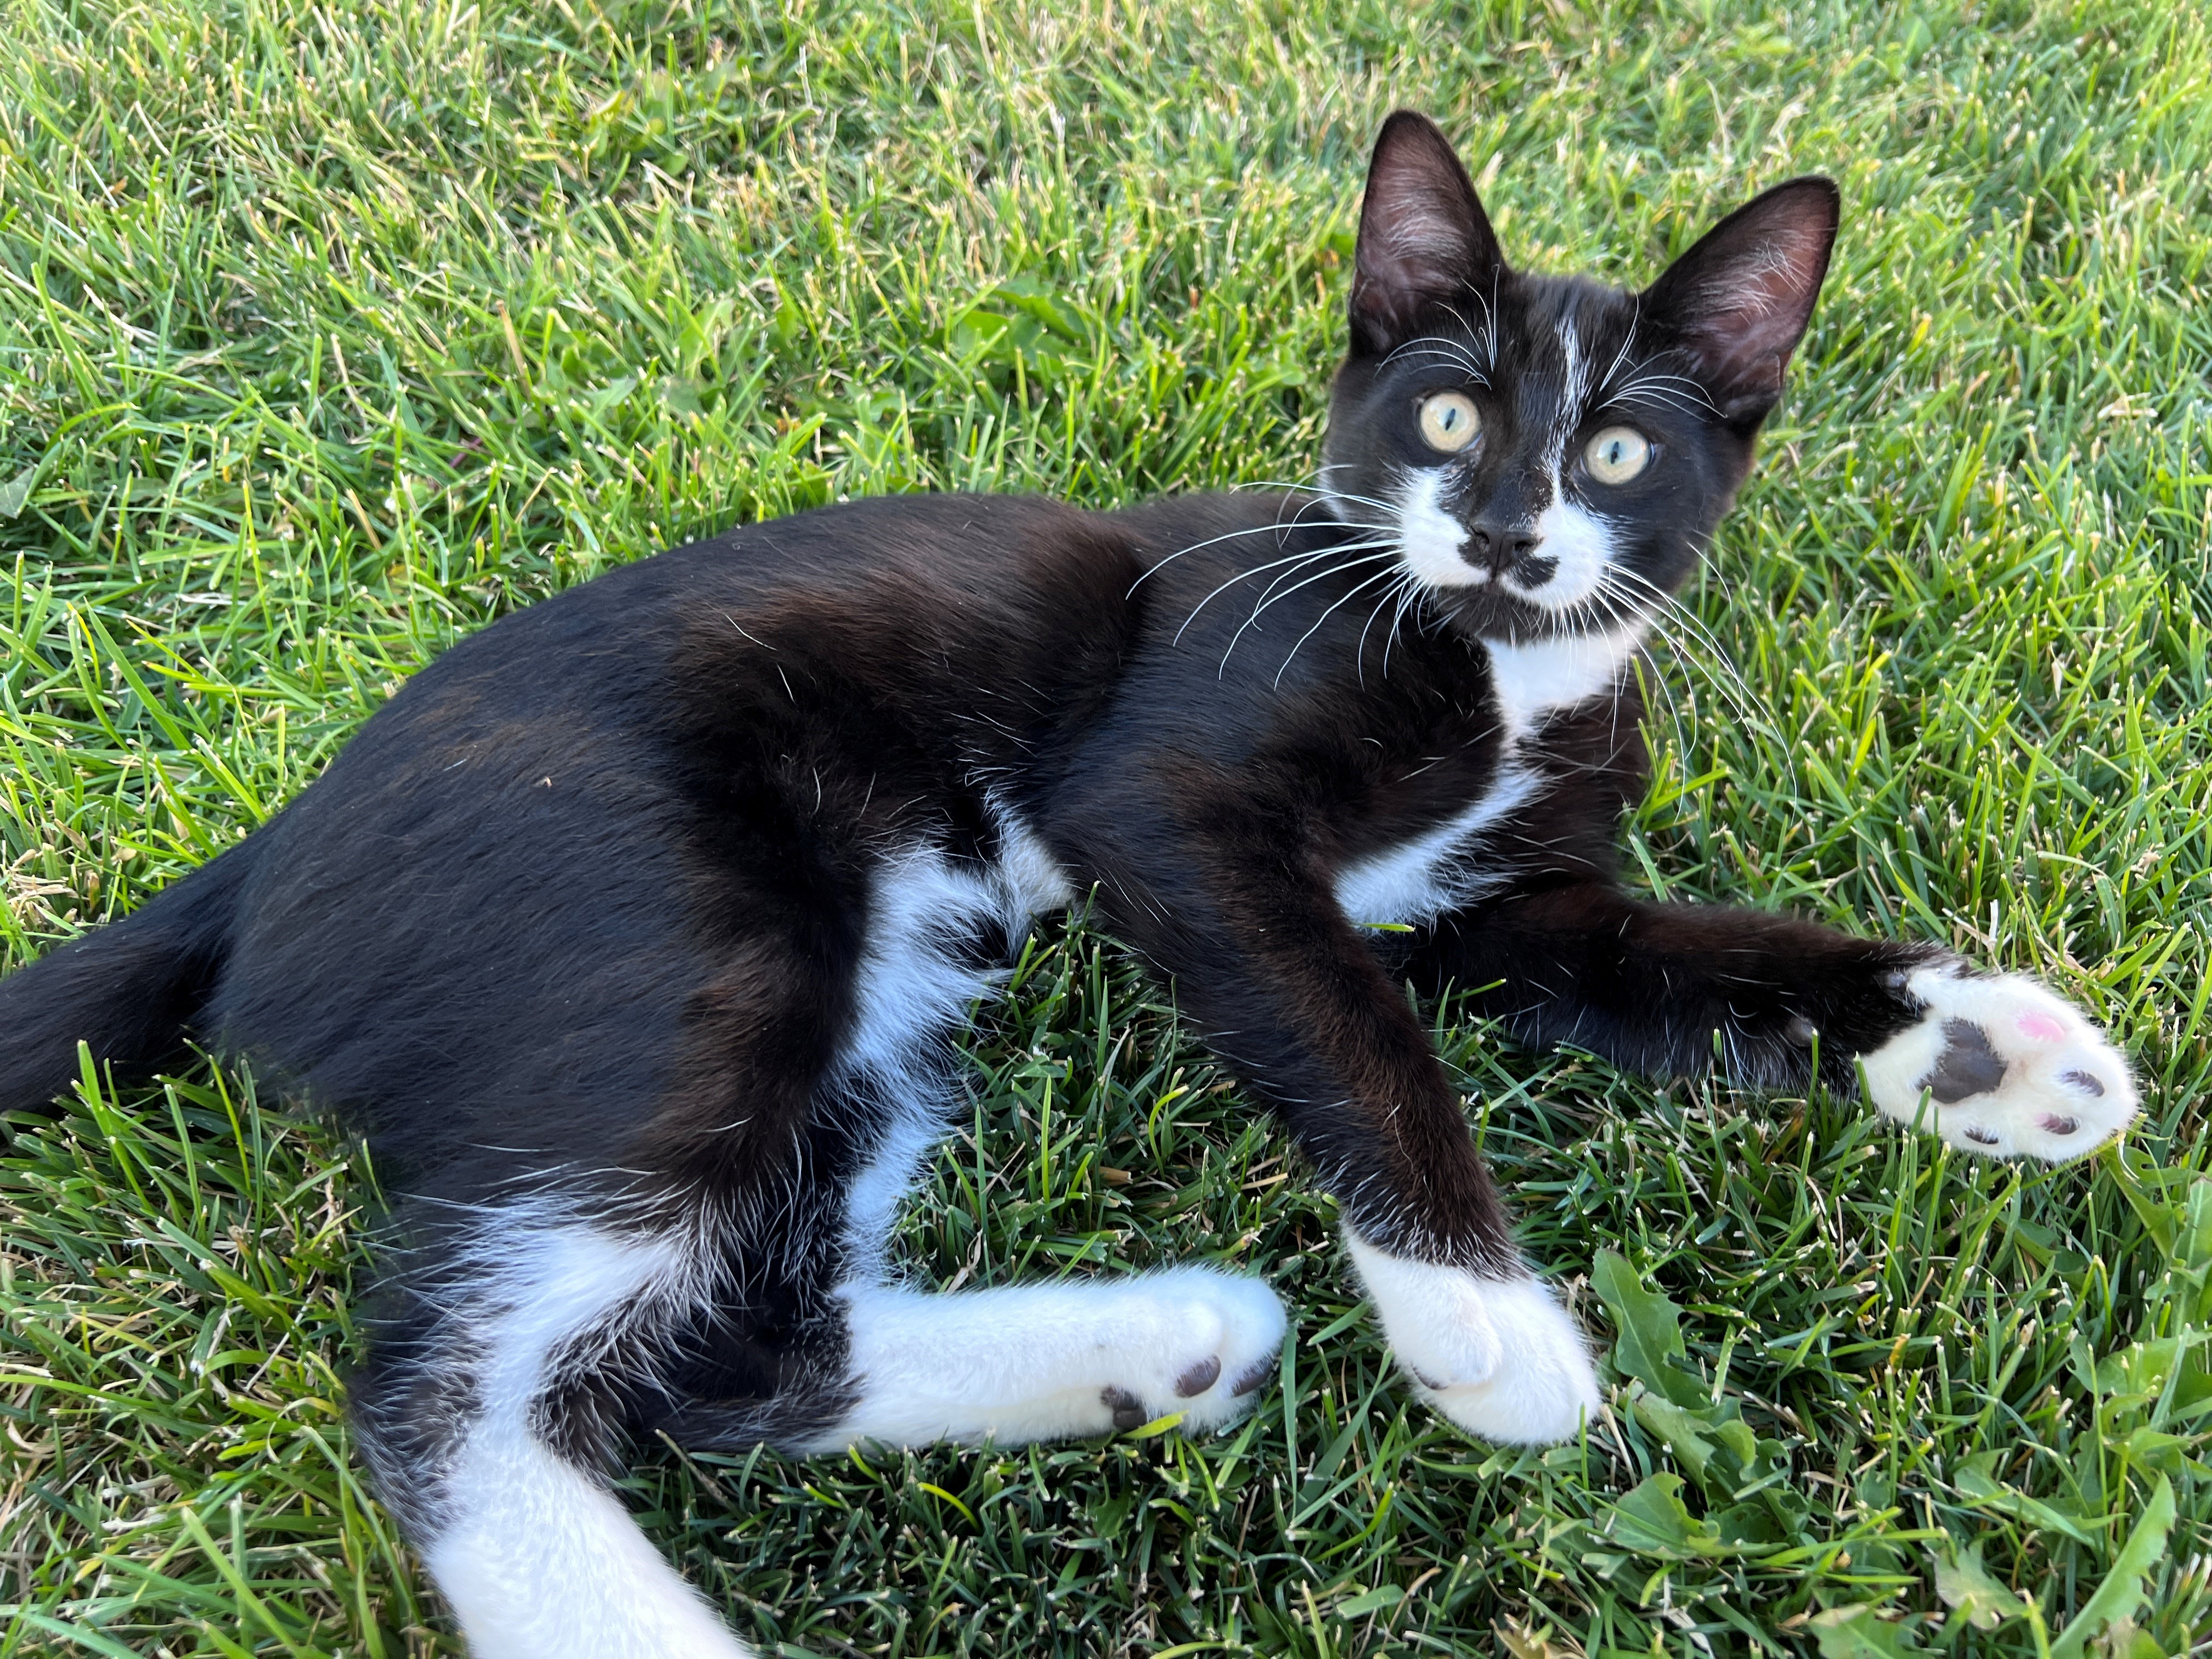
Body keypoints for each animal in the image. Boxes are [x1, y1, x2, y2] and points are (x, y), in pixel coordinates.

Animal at [4, 110, 2141, 1654]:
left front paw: (1981, 1052)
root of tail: (274, 842)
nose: (1509, 531)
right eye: (1448, 412)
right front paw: (1479, 1318)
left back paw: (1147, 1350)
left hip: (860, 986)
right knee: (442, 1387)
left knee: (737, 1353)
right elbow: (1345, 1022)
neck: (1490, 667)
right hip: (674, 927)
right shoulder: (1161, 791)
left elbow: (1680, 958)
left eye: (1618, 450)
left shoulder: (1514, 907)